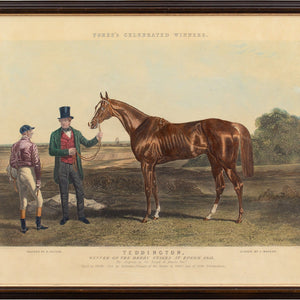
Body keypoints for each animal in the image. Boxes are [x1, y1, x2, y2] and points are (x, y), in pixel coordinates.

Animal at [89, 92, 253, 224]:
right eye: (96, 107)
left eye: (102, 108)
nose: (91, 123)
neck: (141, 127)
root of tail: (231, 125)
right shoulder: (153, 165)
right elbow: (155, 187)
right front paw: (156, 214)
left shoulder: (146, 163)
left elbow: (147, 188)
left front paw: (146, 217)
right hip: (215, 162)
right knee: (220, 186)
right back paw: (209, 215)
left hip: (227, 163)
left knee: (238, 185)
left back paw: (239, 218)